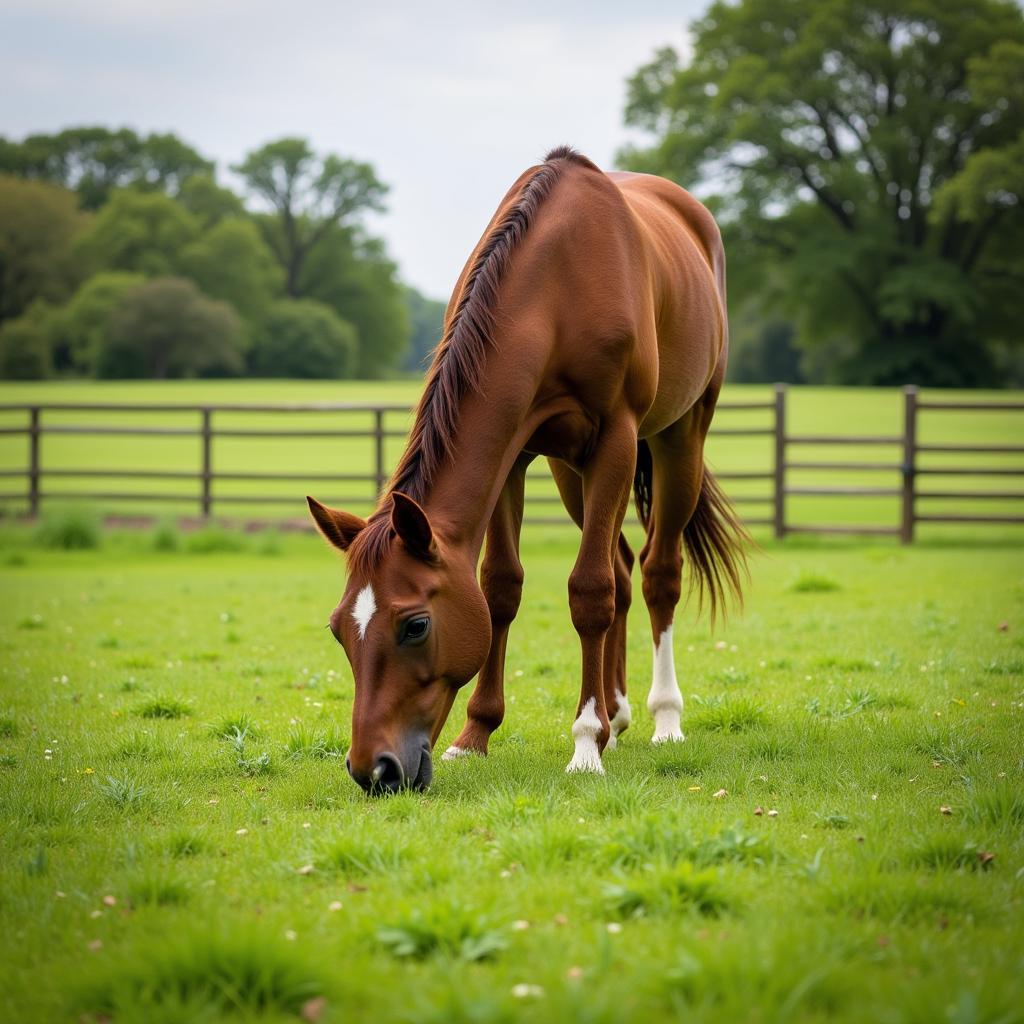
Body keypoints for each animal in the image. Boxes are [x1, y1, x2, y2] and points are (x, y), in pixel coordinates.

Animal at [307, 148, 749, 794]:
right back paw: (616, 714)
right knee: (621, 567)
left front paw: (585, 743)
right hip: (571, 471)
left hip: (678, 438)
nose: (373, 770)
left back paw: (663, 717)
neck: (556, 291)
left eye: (415, 625)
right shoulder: (512, 455)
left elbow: (588, 591)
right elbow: (500, 588)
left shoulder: (615, 439)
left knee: (655, 573)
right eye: (340, 629)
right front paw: (476, 735)